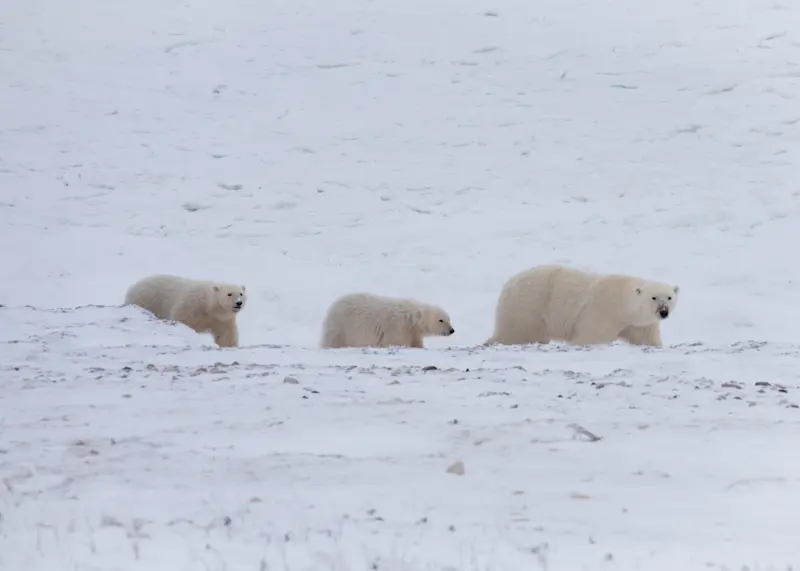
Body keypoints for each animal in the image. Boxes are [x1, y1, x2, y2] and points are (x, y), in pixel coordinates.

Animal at [320, 292, 455, 349]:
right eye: (441, 320)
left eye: (449, 319)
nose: (451, 330)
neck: (410, 318)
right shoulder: (398, 327)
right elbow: (397, 342)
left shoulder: (412, 331)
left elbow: (416, 342)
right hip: (342, 327)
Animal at [484, 264, 679, 348]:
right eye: (653, 297)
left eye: (669, 297)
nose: (663, 312)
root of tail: (508, 285)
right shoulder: (602, 310)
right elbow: (591, 335)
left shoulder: (639, 323)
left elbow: (646, 336)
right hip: (530, 306)